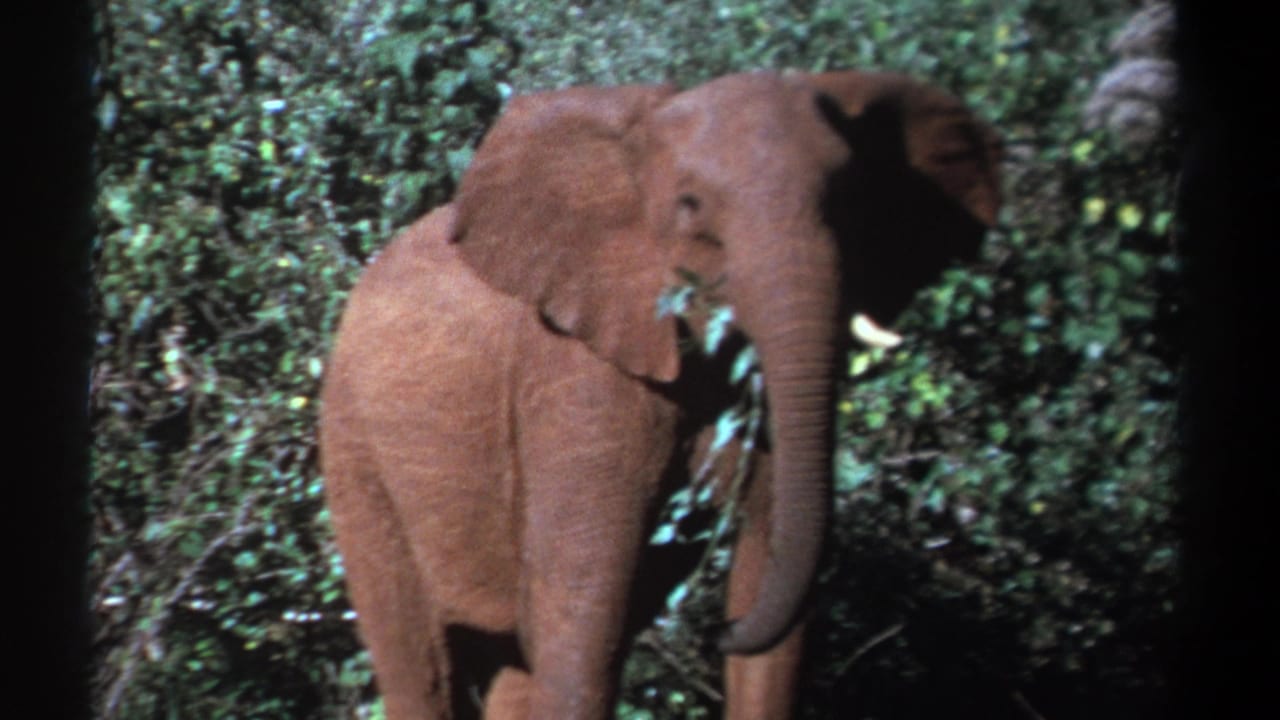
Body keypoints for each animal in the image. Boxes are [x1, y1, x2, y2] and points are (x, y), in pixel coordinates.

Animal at [319, 69, 1001, 719]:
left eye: (851, 204)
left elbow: (774, 586)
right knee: (421, 660)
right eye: (691, 206)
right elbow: (582, 612)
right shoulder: (578, 367)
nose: (720, 631)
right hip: (354, 447)